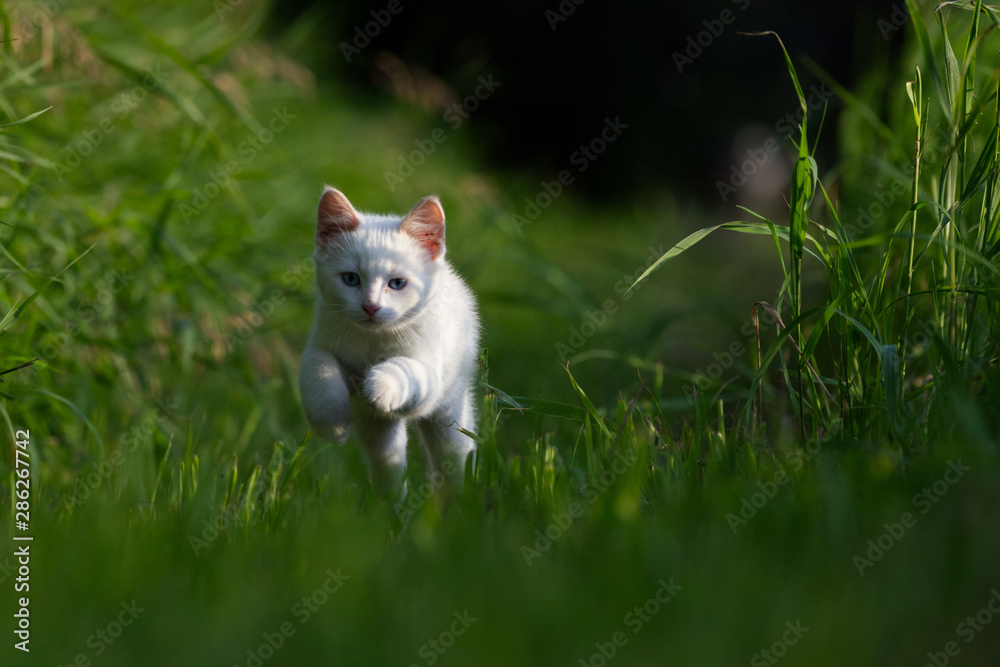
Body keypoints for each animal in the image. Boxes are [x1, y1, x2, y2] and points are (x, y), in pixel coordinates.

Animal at [298, 184, 478, 496]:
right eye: (350, 279)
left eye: (397, 284)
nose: (370, 307)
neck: (373, 340)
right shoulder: (321, 340)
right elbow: (318, 368)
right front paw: (332, 423)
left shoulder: (429, 375)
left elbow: (404, 368)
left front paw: (380, 384)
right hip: (378, 429)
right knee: (388, 460)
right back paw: (390, 503)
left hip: (451, 416)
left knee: (453, 460)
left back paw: (458, 504)